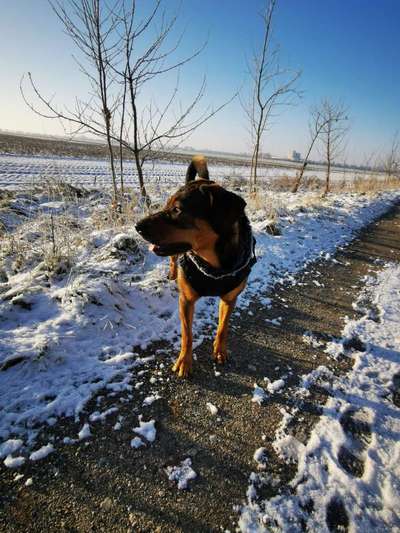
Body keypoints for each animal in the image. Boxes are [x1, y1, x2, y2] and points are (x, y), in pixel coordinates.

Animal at [135, 156, 256, 376]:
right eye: (167, 206)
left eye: (177, 210)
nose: (137, 226)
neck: (213, 266)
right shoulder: (186, 300)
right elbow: (187, 335)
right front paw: (184, 361)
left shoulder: (230, 299)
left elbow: (223, 328)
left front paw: (219, 351)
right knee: (173, 259)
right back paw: (173, 272)